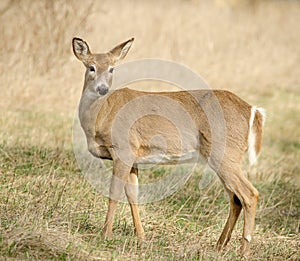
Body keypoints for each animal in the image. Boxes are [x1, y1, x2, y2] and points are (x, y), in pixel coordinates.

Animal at [72, 37, 264, 255]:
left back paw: (243, 251)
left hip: (223, 153)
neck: (102, 114)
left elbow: (114, 192)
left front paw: (105, 236)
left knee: (249, 194)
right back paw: (219, 245)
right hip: (223, 156)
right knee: (235, 198)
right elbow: (133, 195)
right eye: (91, 67)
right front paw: (141, 237)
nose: (102, 89)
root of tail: (252, 110)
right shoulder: (133, 156)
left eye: (112, 68)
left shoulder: (123, 148)